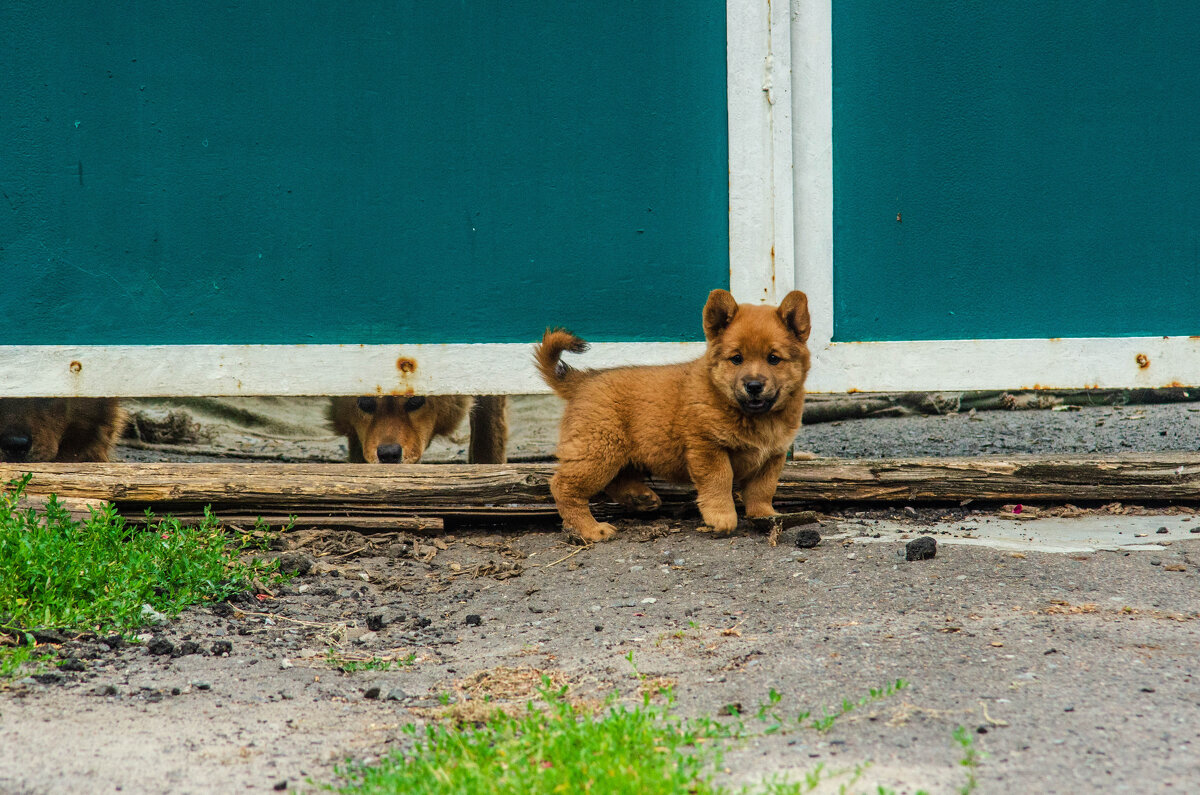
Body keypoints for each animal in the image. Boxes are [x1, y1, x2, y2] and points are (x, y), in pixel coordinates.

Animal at [537, 289, 811, 545]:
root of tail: (582, 380)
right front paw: (721, 517)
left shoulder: (772, 457)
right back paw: (591, 529)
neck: (755, 417)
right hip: (599, 451)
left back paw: (638, 498)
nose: (753, 386)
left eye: (773, 359)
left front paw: (765, 515)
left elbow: (762, 490)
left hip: (617, 453)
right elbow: (720, 481)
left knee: (615, 480)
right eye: (737, 358)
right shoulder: (708, 447)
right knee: (564, 487)